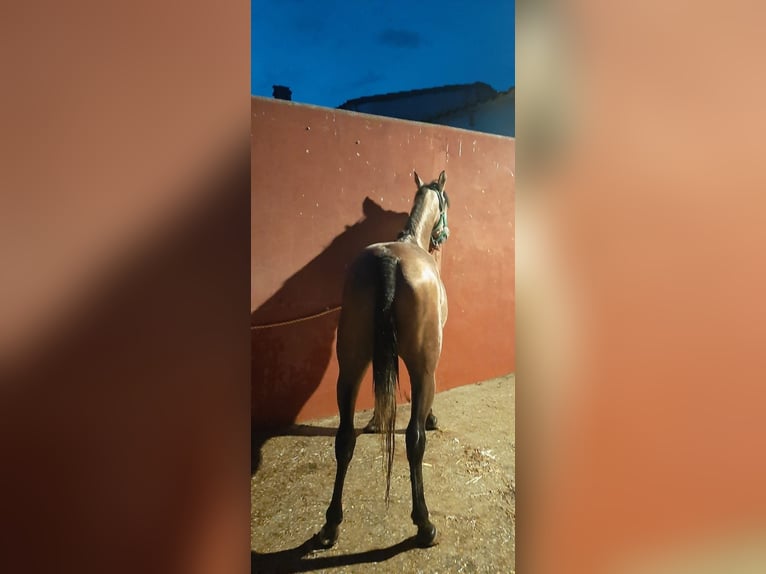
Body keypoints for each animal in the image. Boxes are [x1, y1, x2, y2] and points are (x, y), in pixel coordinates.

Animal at [318, 170, 451, 549]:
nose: (443, 236)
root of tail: (388, 262)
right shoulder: (429, 363)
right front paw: (432, 417)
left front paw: (377, 421)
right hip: (420, 367)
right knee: (413, 440)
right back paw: (424, 524)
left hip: (349, 367)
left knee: (344, 439)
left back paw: (331, 524)